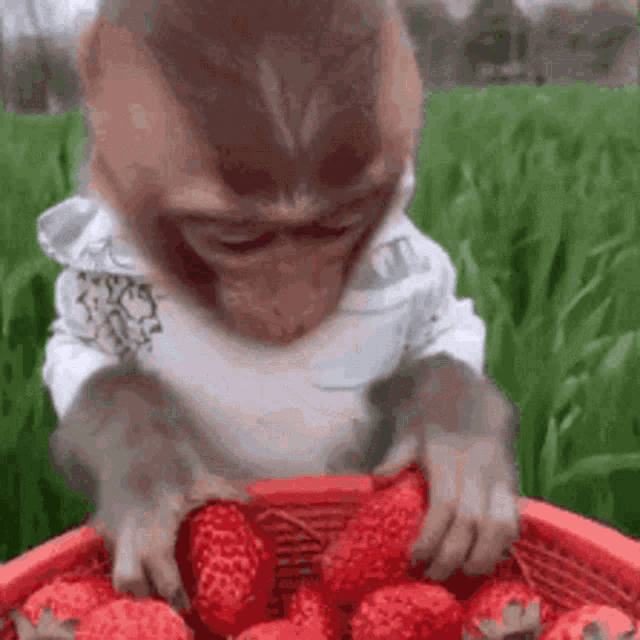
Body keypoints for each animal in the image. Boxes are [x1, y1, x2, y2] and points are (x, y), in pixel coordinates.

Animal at [36, 0, 520, 611]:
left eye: (334, 225)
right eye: (234, 239)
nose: (290, 304)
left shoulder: (410, 256)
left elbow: (449, 327)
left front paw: (457, 439)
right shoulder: (91, 274)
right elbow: (75, 351)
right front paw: (150, 475)